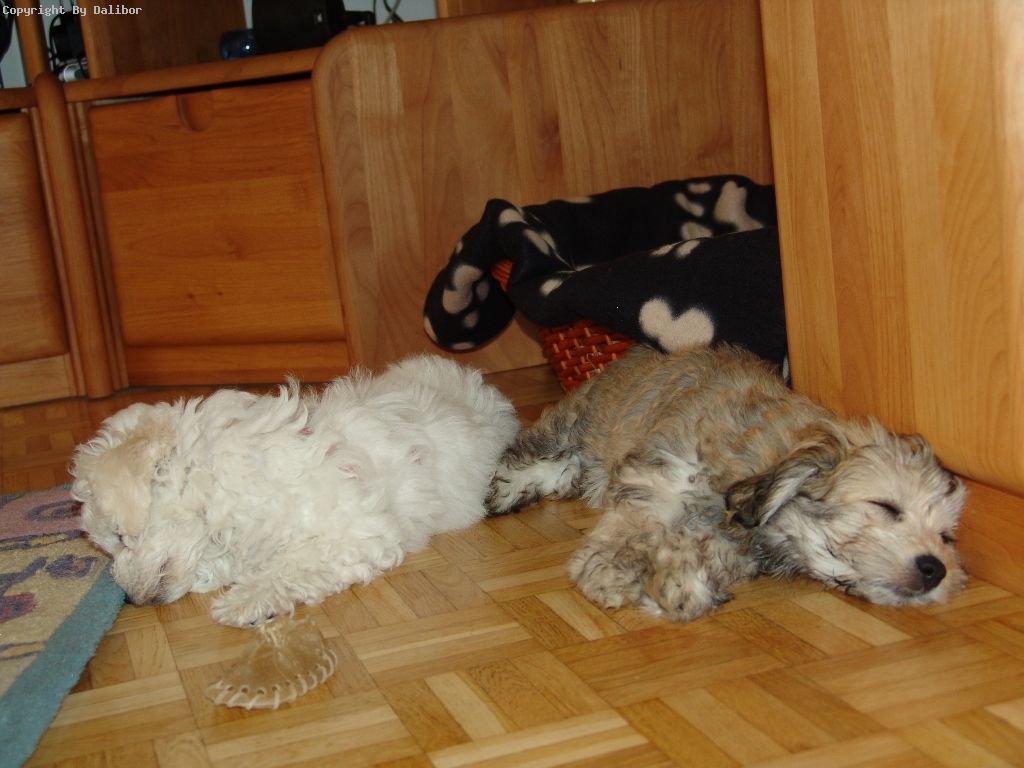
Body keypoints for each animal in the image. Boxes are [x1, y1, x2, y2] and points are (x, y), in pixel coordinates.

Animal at [486, 344, 967, 621]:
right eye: (885, 506)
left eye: (945, 536)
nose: (935, 569)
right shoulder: (660, 477)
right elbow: (634, 529)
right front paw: (613, 572)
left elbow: (704, 553)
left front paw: (680, 582)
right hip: (579, 424)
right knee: (536, 453)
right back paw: (505, 490)